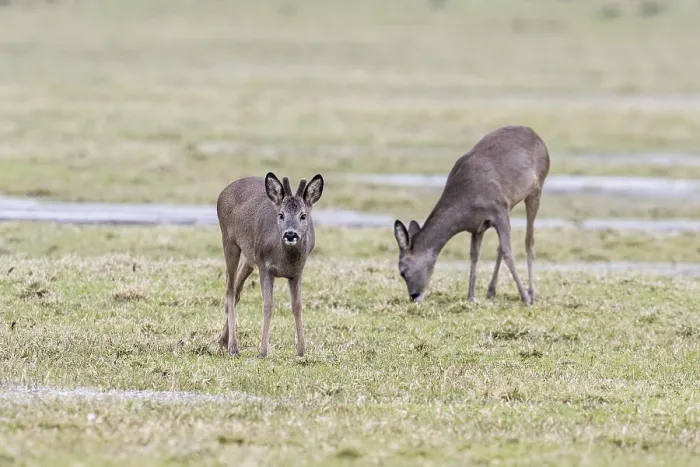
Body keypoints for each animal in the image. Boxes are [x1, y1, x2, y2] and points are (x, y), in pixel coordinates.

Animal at [216, 172, 324, 357]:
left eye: (303, 215)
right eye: (281, 215)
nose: (290, 234)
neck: (284, 259)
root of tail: (224, 191)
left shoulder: (297, 272)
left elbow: (297, 306)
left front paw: (301, 350)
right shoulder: (264, 266)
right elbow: (268, 305)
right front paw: (263, 351)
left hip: (249, 258)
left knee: (237, 289)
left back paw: (223, 340)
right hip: (229, 241)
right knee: (229, 290)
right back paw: (233, 346)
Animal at [393, 125, 550, 306]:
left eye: (402, 272)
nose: (414, 296)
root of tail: (539, 138)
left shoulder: (498, 210)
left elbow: (508, 253)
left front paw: (525, 298)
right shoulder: (478, 227)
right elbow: (475, 255)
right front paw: (471, 297)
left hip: (536, 189)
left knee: (529, 240)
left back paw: (531, 293)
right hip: (511, 205)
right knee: (501, 247)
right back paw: (491, 292)